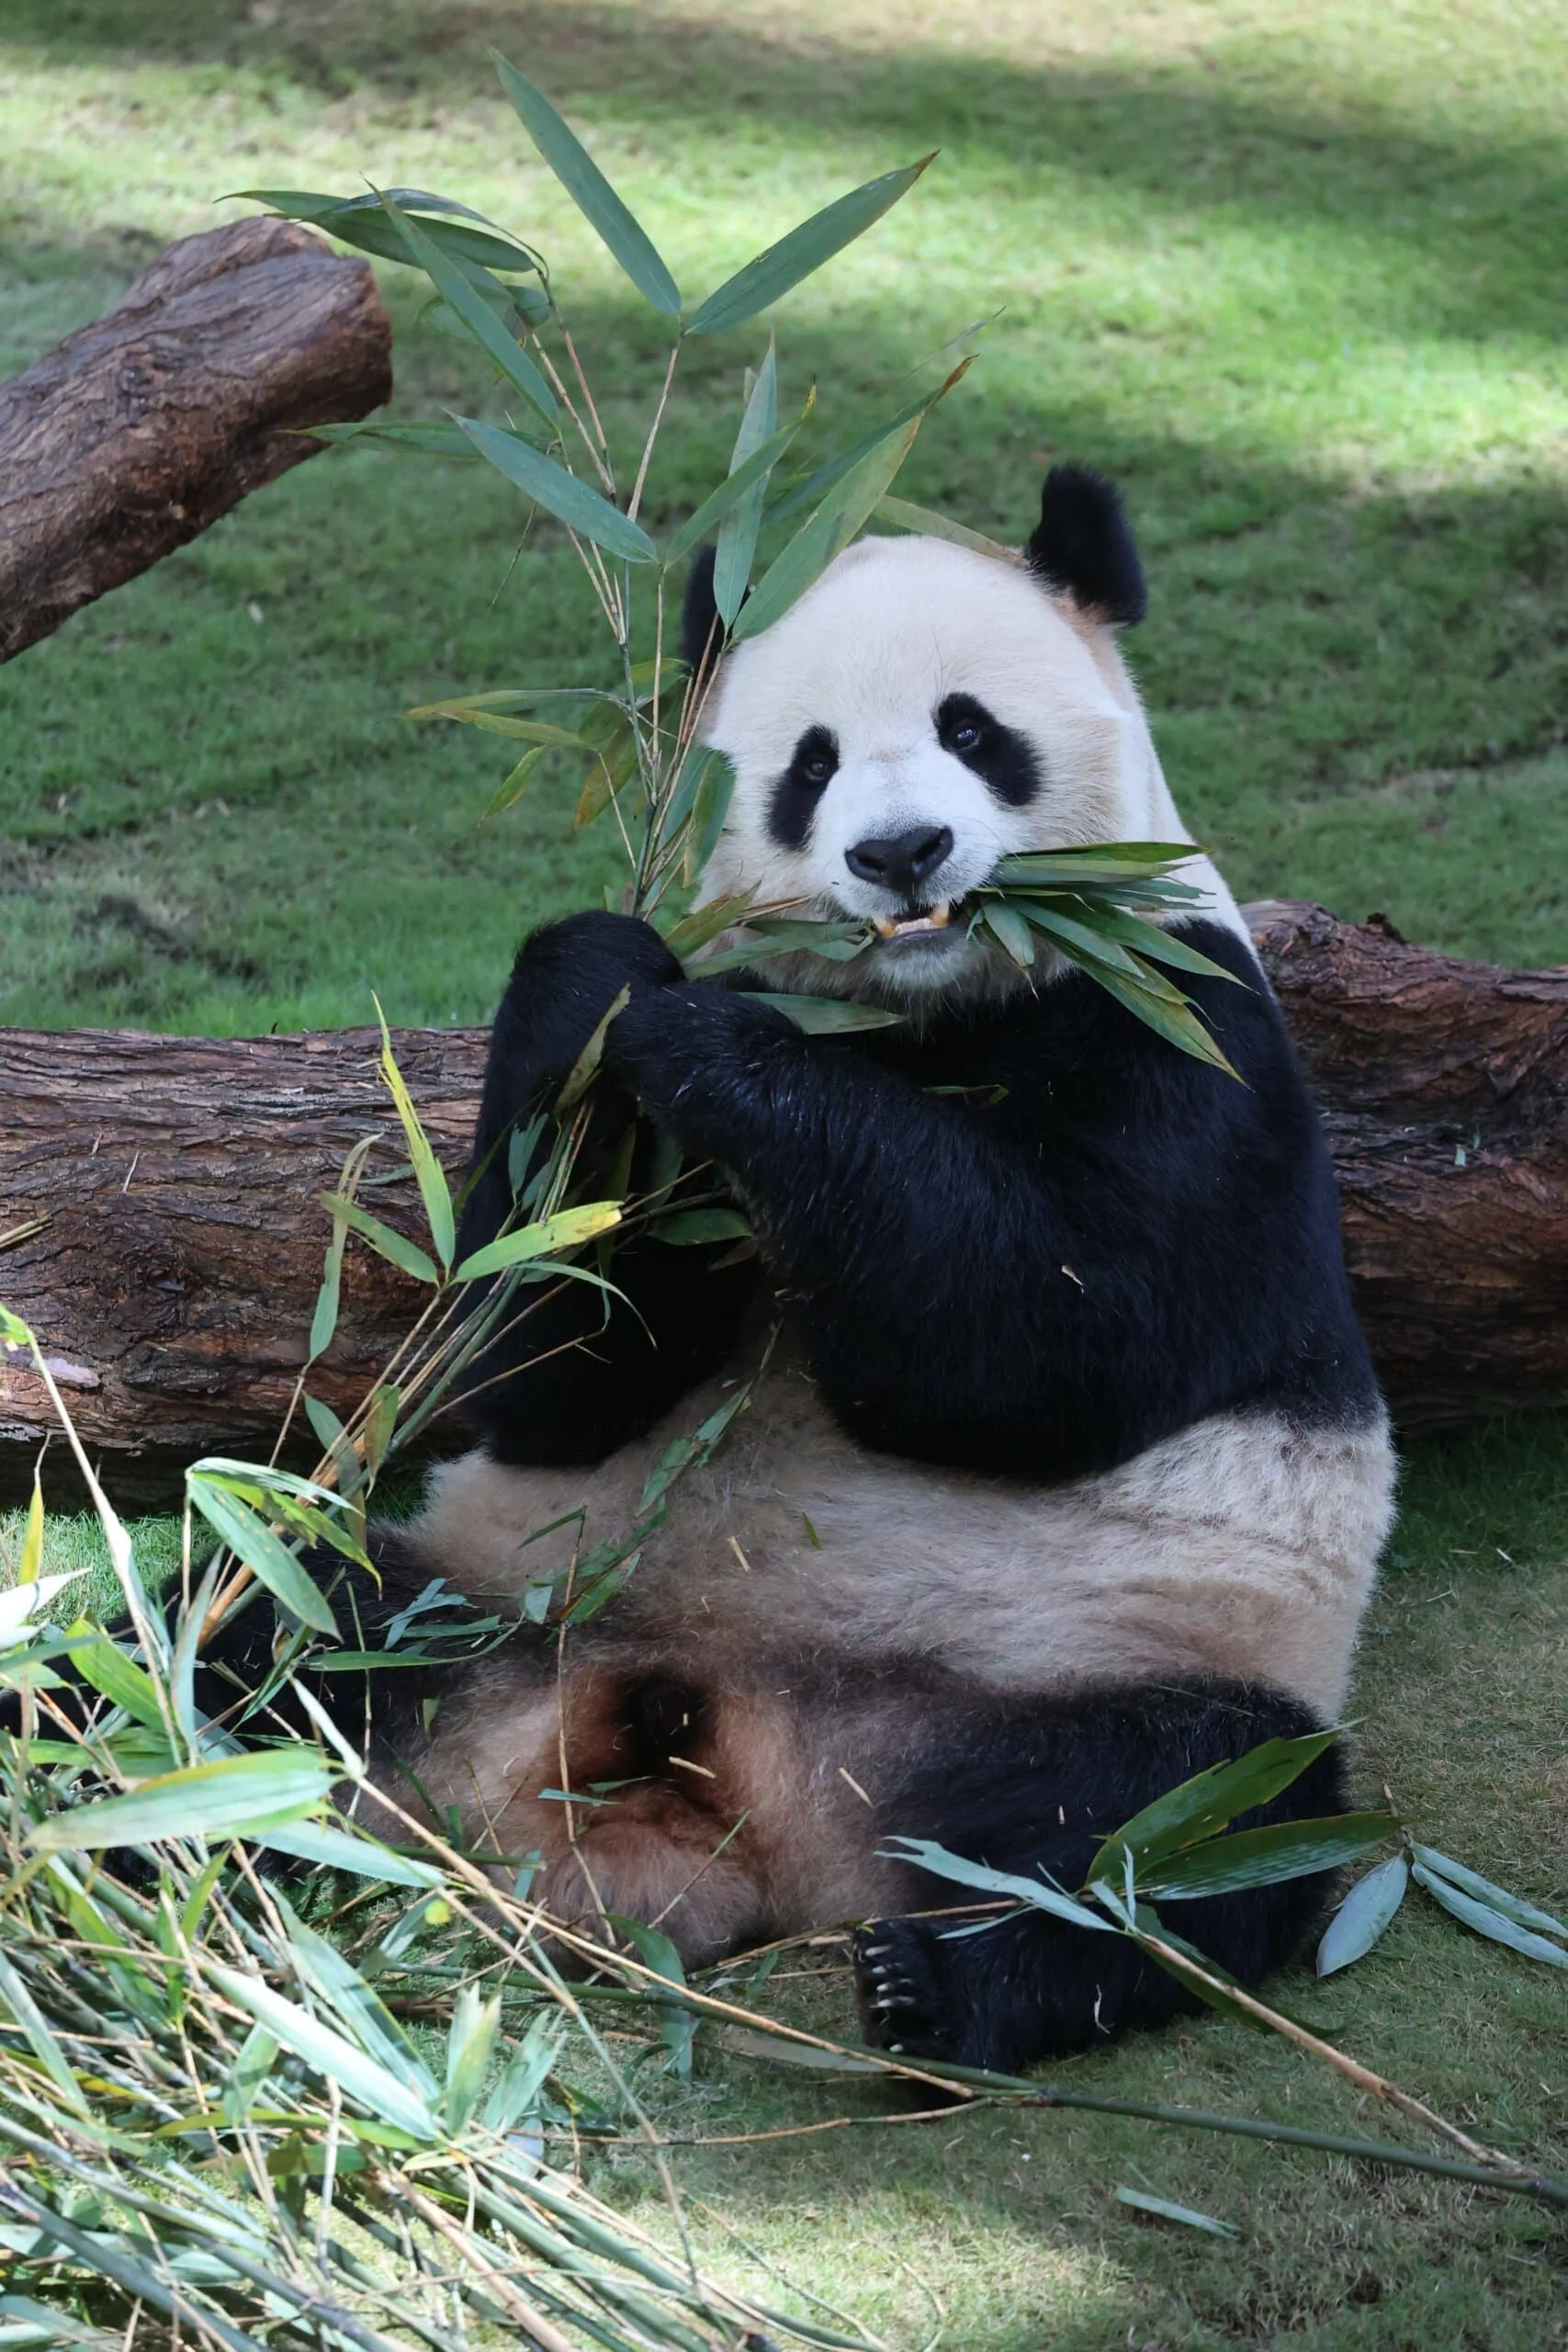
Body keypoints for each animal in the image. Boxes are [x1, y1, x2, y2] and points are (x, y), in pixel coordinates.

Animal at [271, 467, 1397, 2073]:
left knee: (1169, 1832)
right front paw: (603, 977)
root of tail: (742, 1790)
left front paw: (720, 1050)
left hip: (1104, 1658)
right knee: (276, 1631)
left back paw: (942, 1979)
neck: (916, 1015)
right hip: (479, 1596)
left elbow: (1046, 1342)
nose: (898, 853)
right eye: (806, 767)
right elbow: (546, 1357)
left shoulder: (1186, 1029)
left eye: (971, 731)